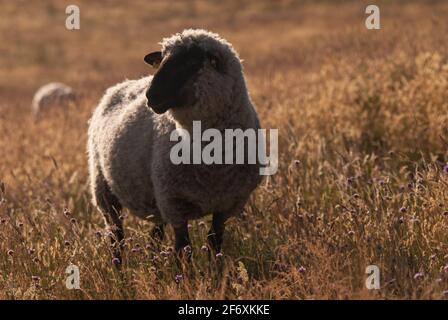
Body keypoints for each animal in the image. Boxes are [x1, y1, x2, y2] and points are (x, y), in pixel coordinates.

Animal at [87, 28, 262, 264]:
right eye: (162, 60)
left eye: (191, 63)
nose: (151, 96)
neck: (211, 166)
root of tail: (119, 85)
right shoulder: (174, 204)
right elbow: (182, 250)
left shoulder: (227, 204)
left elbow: (215, 243)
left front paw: (216, 273)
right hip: (104, 189)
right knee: (117, 238)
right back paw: (119, 268)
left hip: (155, 199)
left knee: (154, 237)